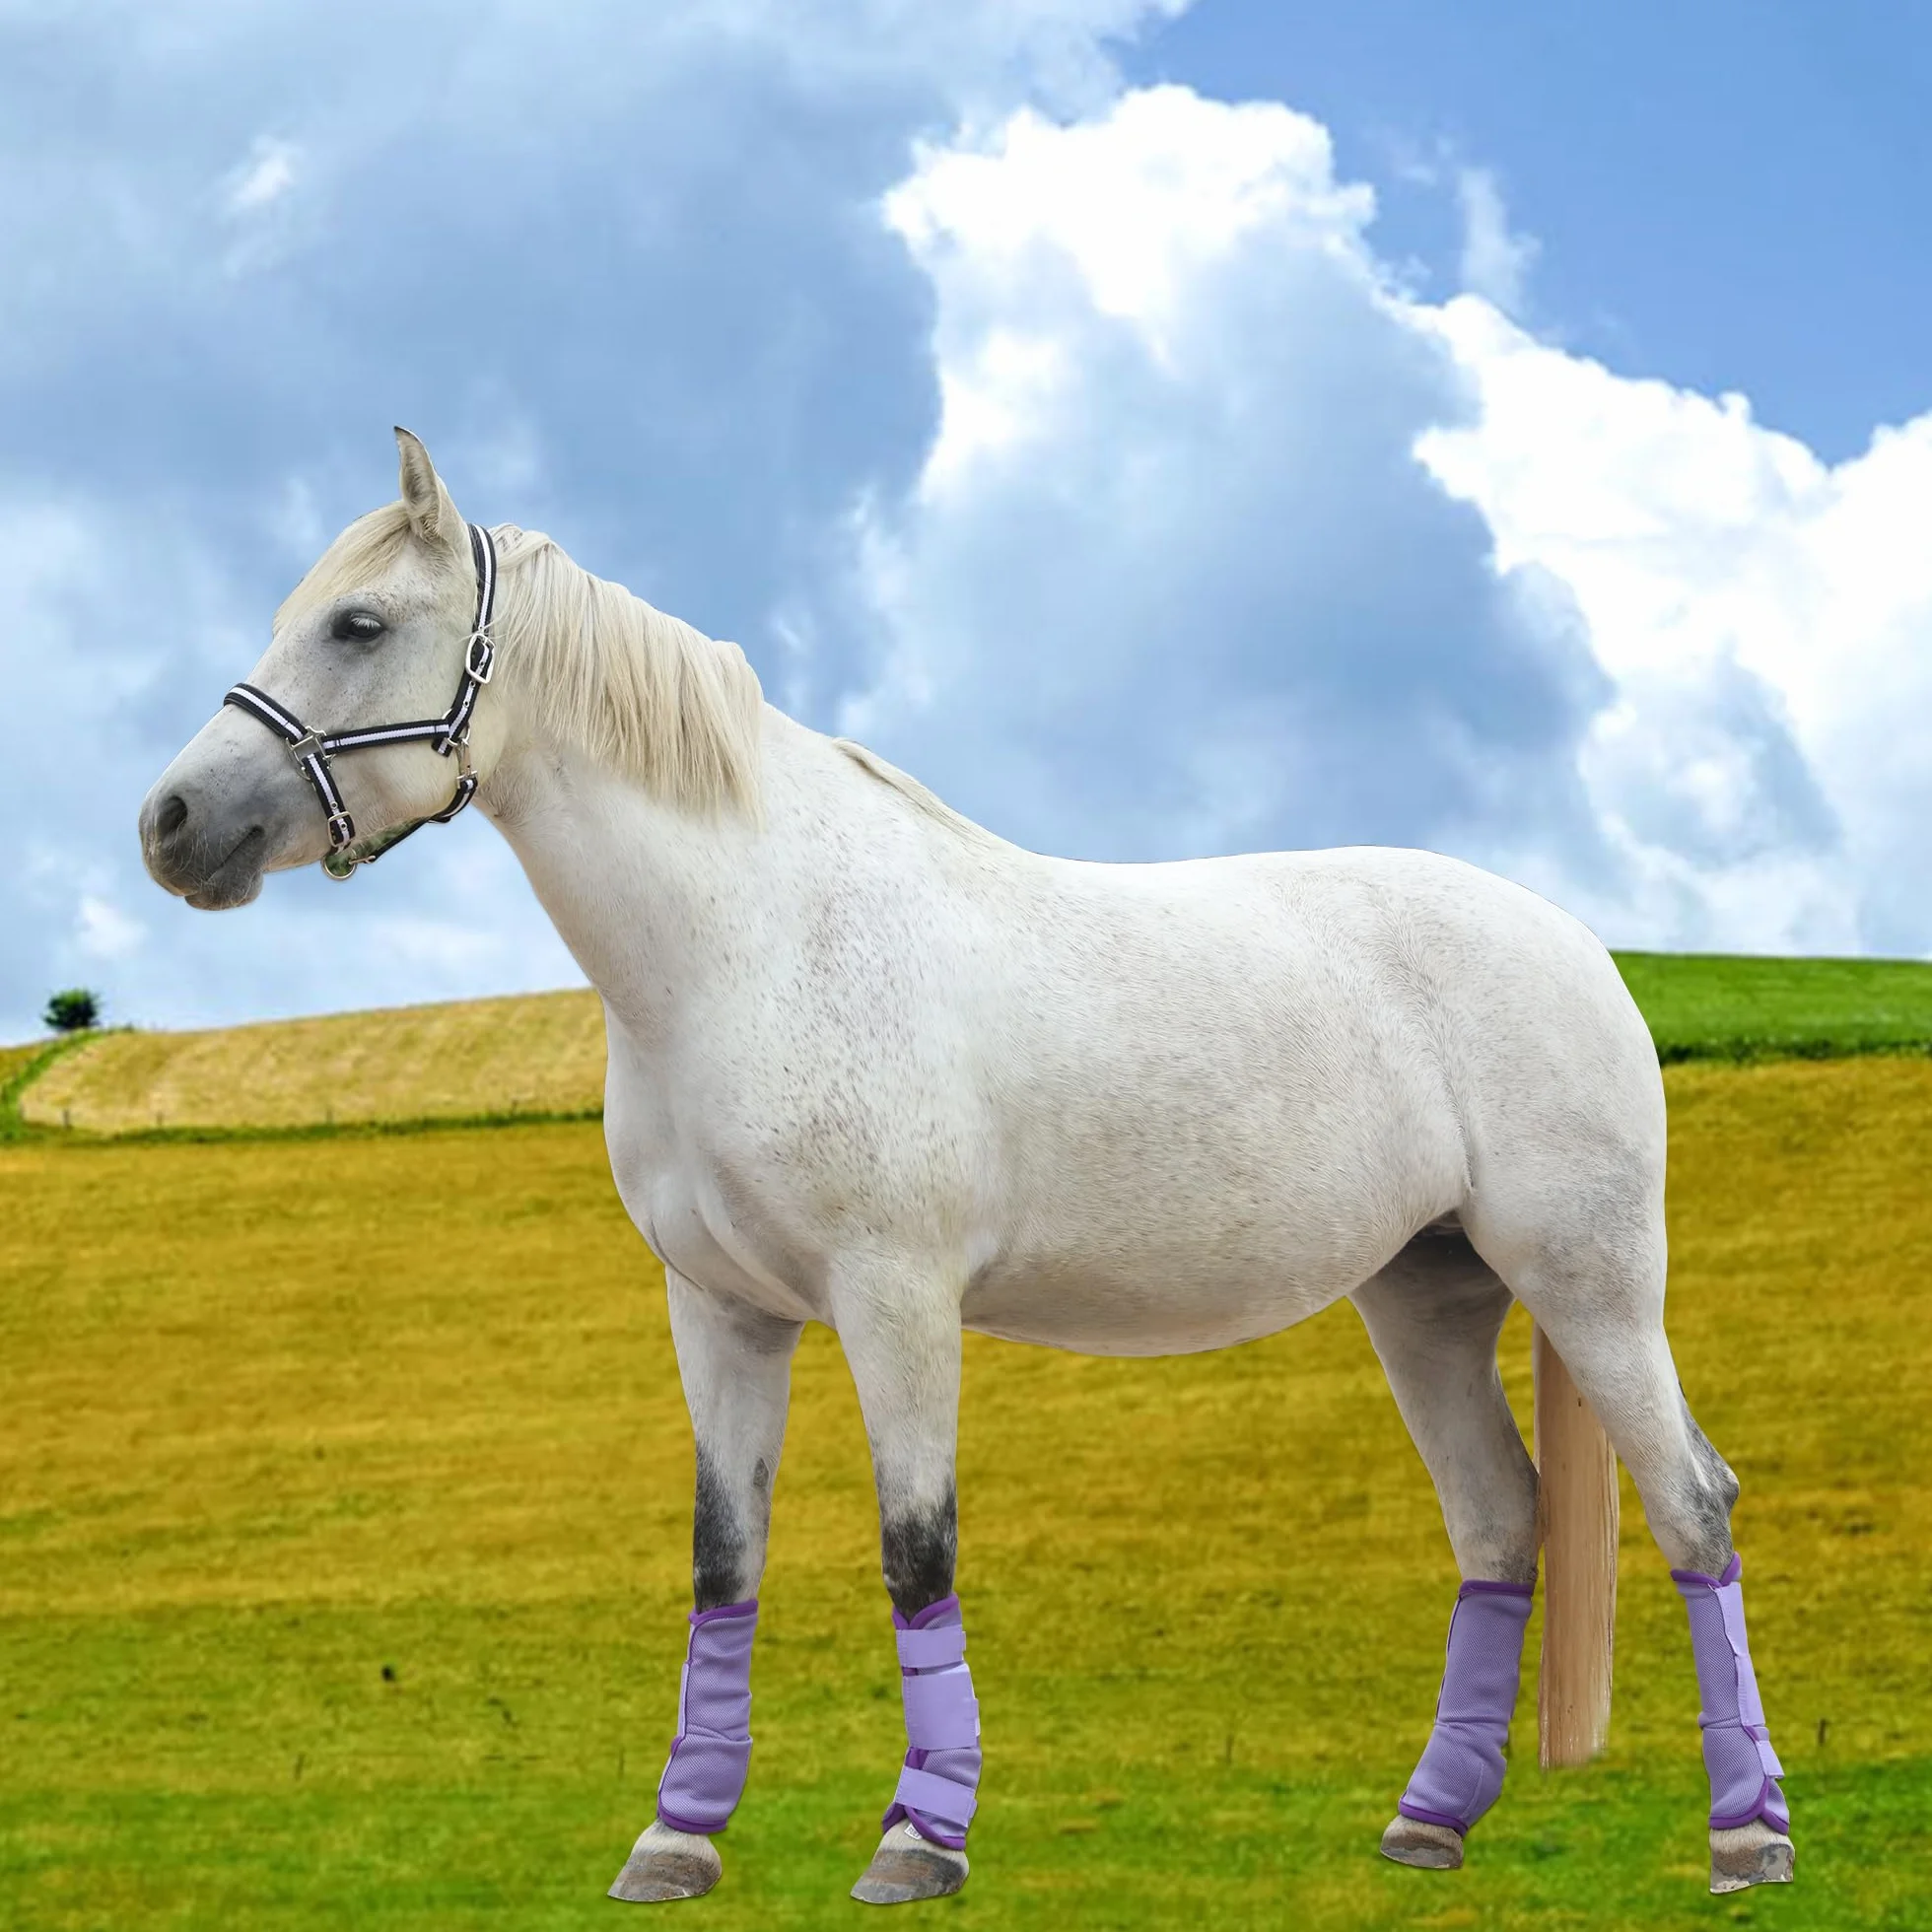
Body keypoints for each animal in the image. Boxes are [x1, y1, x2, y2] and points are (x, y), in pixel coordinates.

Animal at [138, 430, 1793, 1904]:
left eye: (359, 624)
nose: (171, 824)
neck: (752, 944)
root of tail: (1576, 943)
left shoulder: (896, 1301)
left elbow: (914, 1548)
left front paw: (918, 1841)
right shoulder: (719, 1313)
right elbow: (724, 1559)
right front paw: (676, 1841)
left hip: (1589, 1284)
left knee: (1693, 1505)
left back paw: (1747, 1841)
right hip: (1427, 1298)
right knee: (1503, 1519)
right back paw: (1428, 1825)